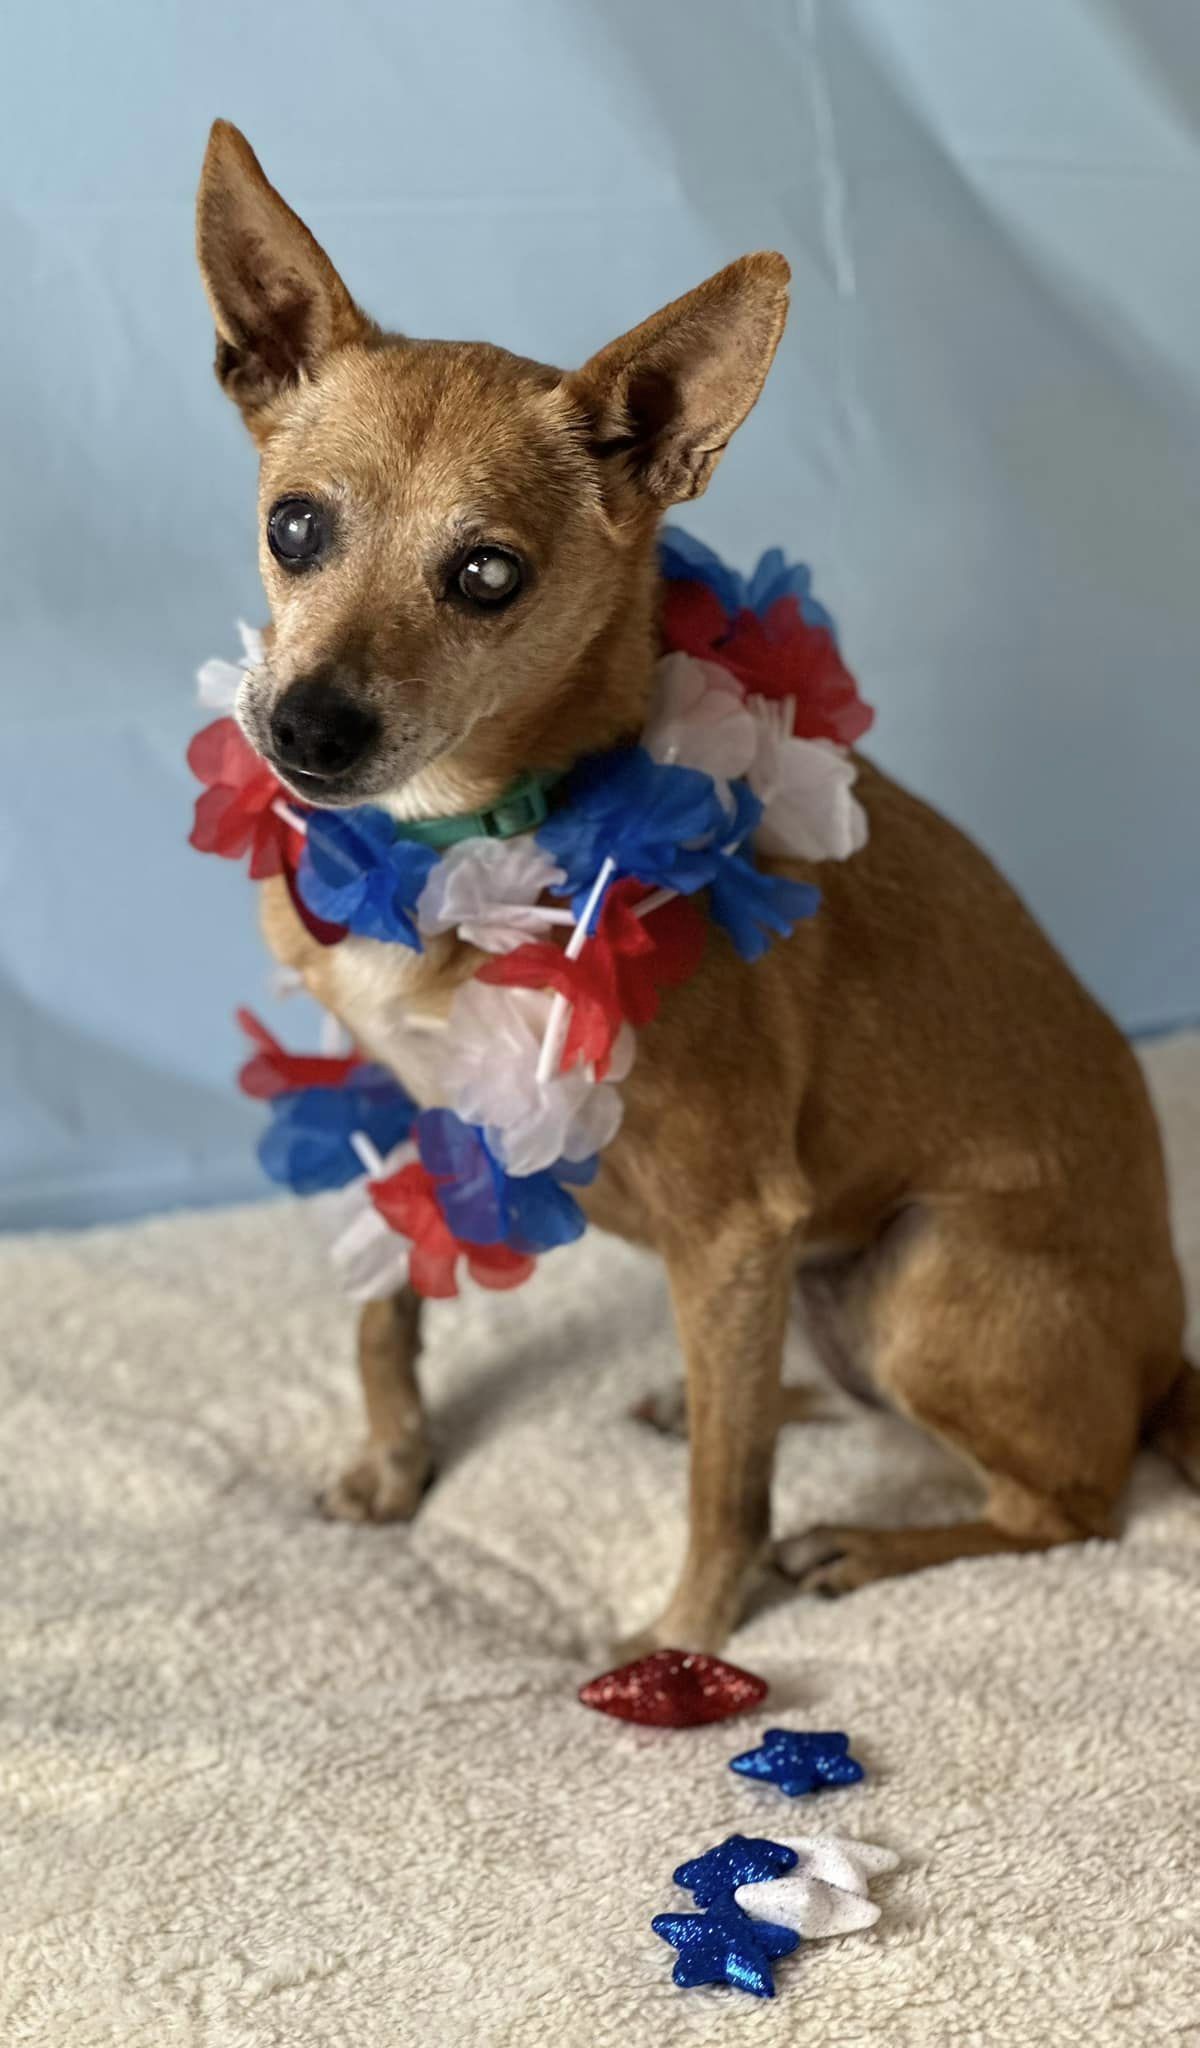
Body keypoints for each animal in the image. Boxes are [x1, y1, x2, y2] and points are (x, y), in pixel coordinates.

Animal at [191, 123, 1187, 1646]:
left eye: (488, 573)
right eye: (295, 528)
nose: (304, 728)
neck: (463, 840)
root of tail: (1167, 1364)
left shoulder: (732, 1225)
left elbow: (728, 1491)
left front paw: (684, 1640)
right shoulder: (397, 1096)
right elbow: (388, 1307)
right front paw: (395, 1464)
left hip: (920, 1274)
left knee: (1060, 1505)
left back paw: (861, 1542)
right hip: (833, 1285)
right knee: (800, 1393)